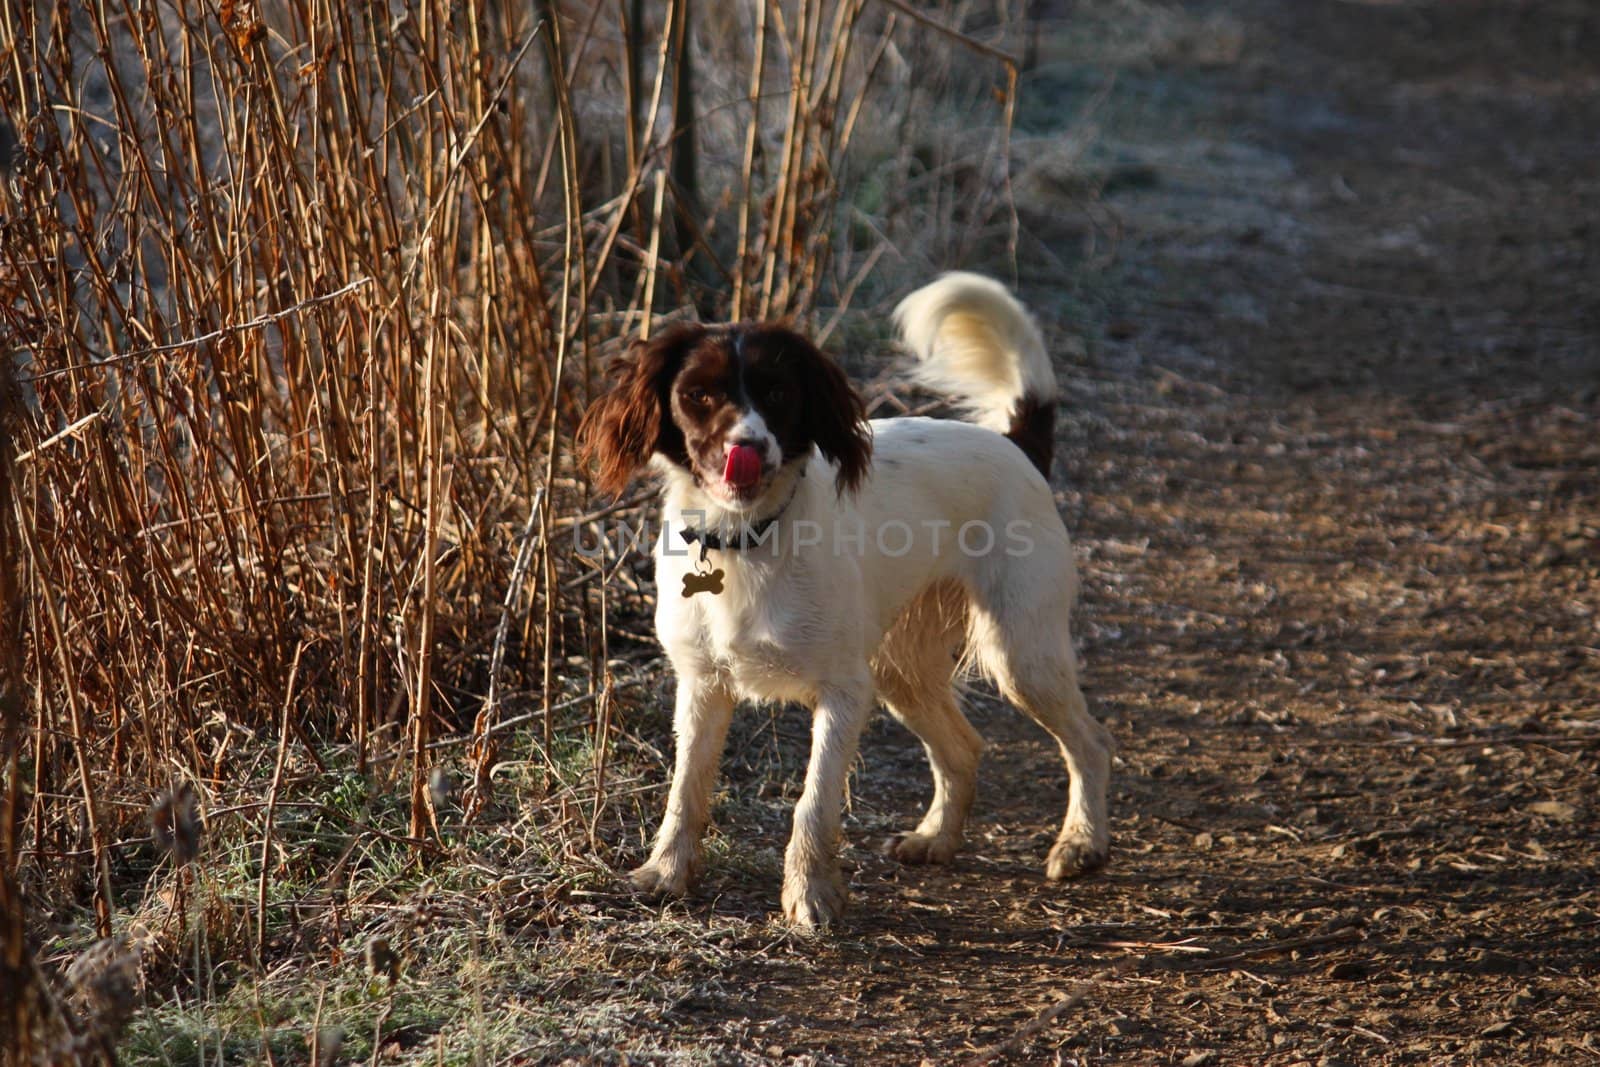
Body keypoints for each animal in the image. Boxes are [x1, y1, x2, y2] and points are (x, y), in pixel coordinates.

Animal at [576, 273, 1113, 927]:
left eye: (779, 392)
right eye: (698, 395)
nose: (747, 446)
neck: (748, 539)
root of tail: (1014, 444)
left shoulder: (843, 691)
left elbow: (813, 803)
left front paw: (810, 895)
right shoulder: (702, 685)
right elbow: (687, 790)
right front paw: (666, 872)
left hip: (1020, 654)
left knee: (1090, 744)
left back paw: (1082, 842)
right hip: (901, 668)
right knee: (964, 748)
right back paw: (938, 838)